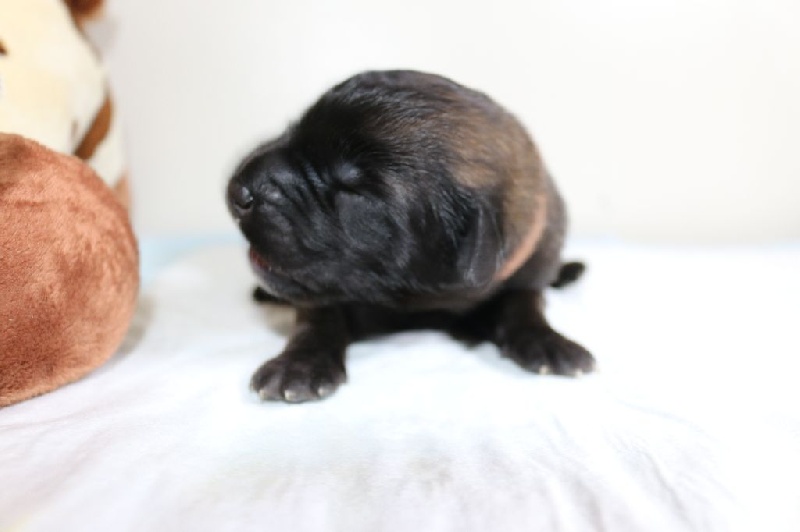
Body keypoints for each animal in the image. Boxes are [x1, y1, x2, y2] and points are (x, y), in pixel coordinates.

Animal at [227, 70, 594, 403]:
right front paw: (299, 365)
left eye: (354, 190)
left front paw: (548, 342)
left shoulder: (531, 263)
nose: (236, 190)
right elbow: (318, 316)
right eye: (294, 129)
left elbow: (524, 301)